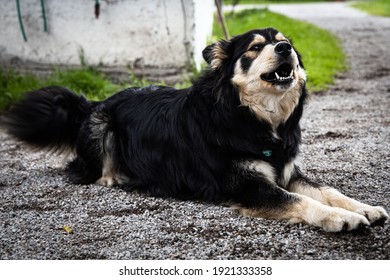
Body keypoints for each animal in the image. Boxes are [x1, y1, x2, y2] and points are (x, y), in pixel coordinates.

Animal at [2, 27, 386, 232]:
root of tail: (92, 104)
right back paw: (116, 176)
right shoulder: (246, 184)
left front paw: (363, 208)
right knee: (90, 171)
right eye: (255, 47)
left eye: (285, 41)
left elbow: (326, 190)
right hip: (101, 126)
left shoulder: (287, 170)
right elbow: (300, 200)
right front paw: (341, 217)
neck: (249, 116)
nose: (285, 48)